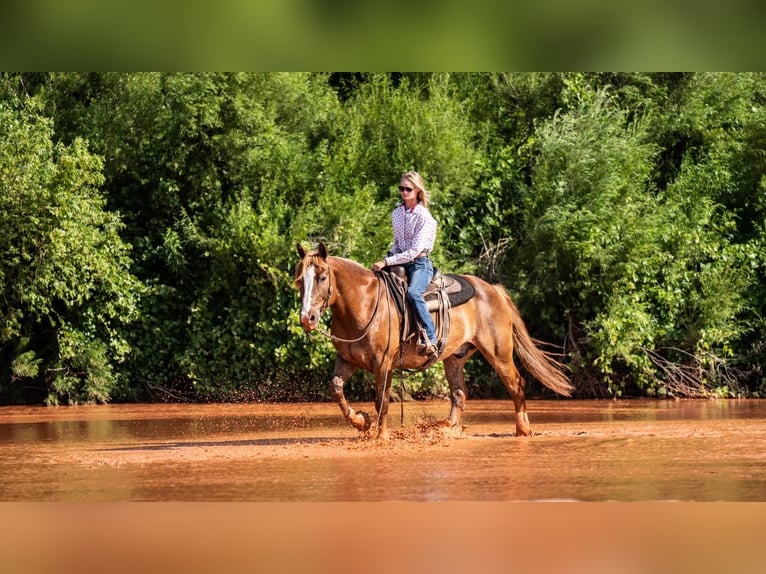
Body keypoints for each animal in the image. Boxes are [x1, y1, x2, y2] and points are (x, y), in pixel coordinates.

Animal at [296, 242, 572, 440]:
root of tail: (493, 289)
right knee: (459, 393)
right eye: (300, 280)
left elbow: (381, 400)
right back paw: (446, 428)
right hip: (455, 358)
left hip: (499, 353)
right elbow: (335, 389)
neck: (363, 303)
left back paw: (522, 430)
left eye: (322, 277)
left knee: (516, 384)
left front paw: (381, 436)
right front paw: (362, 422)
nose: (307, 318)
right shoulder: (347, 360)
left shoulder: (382, 363)